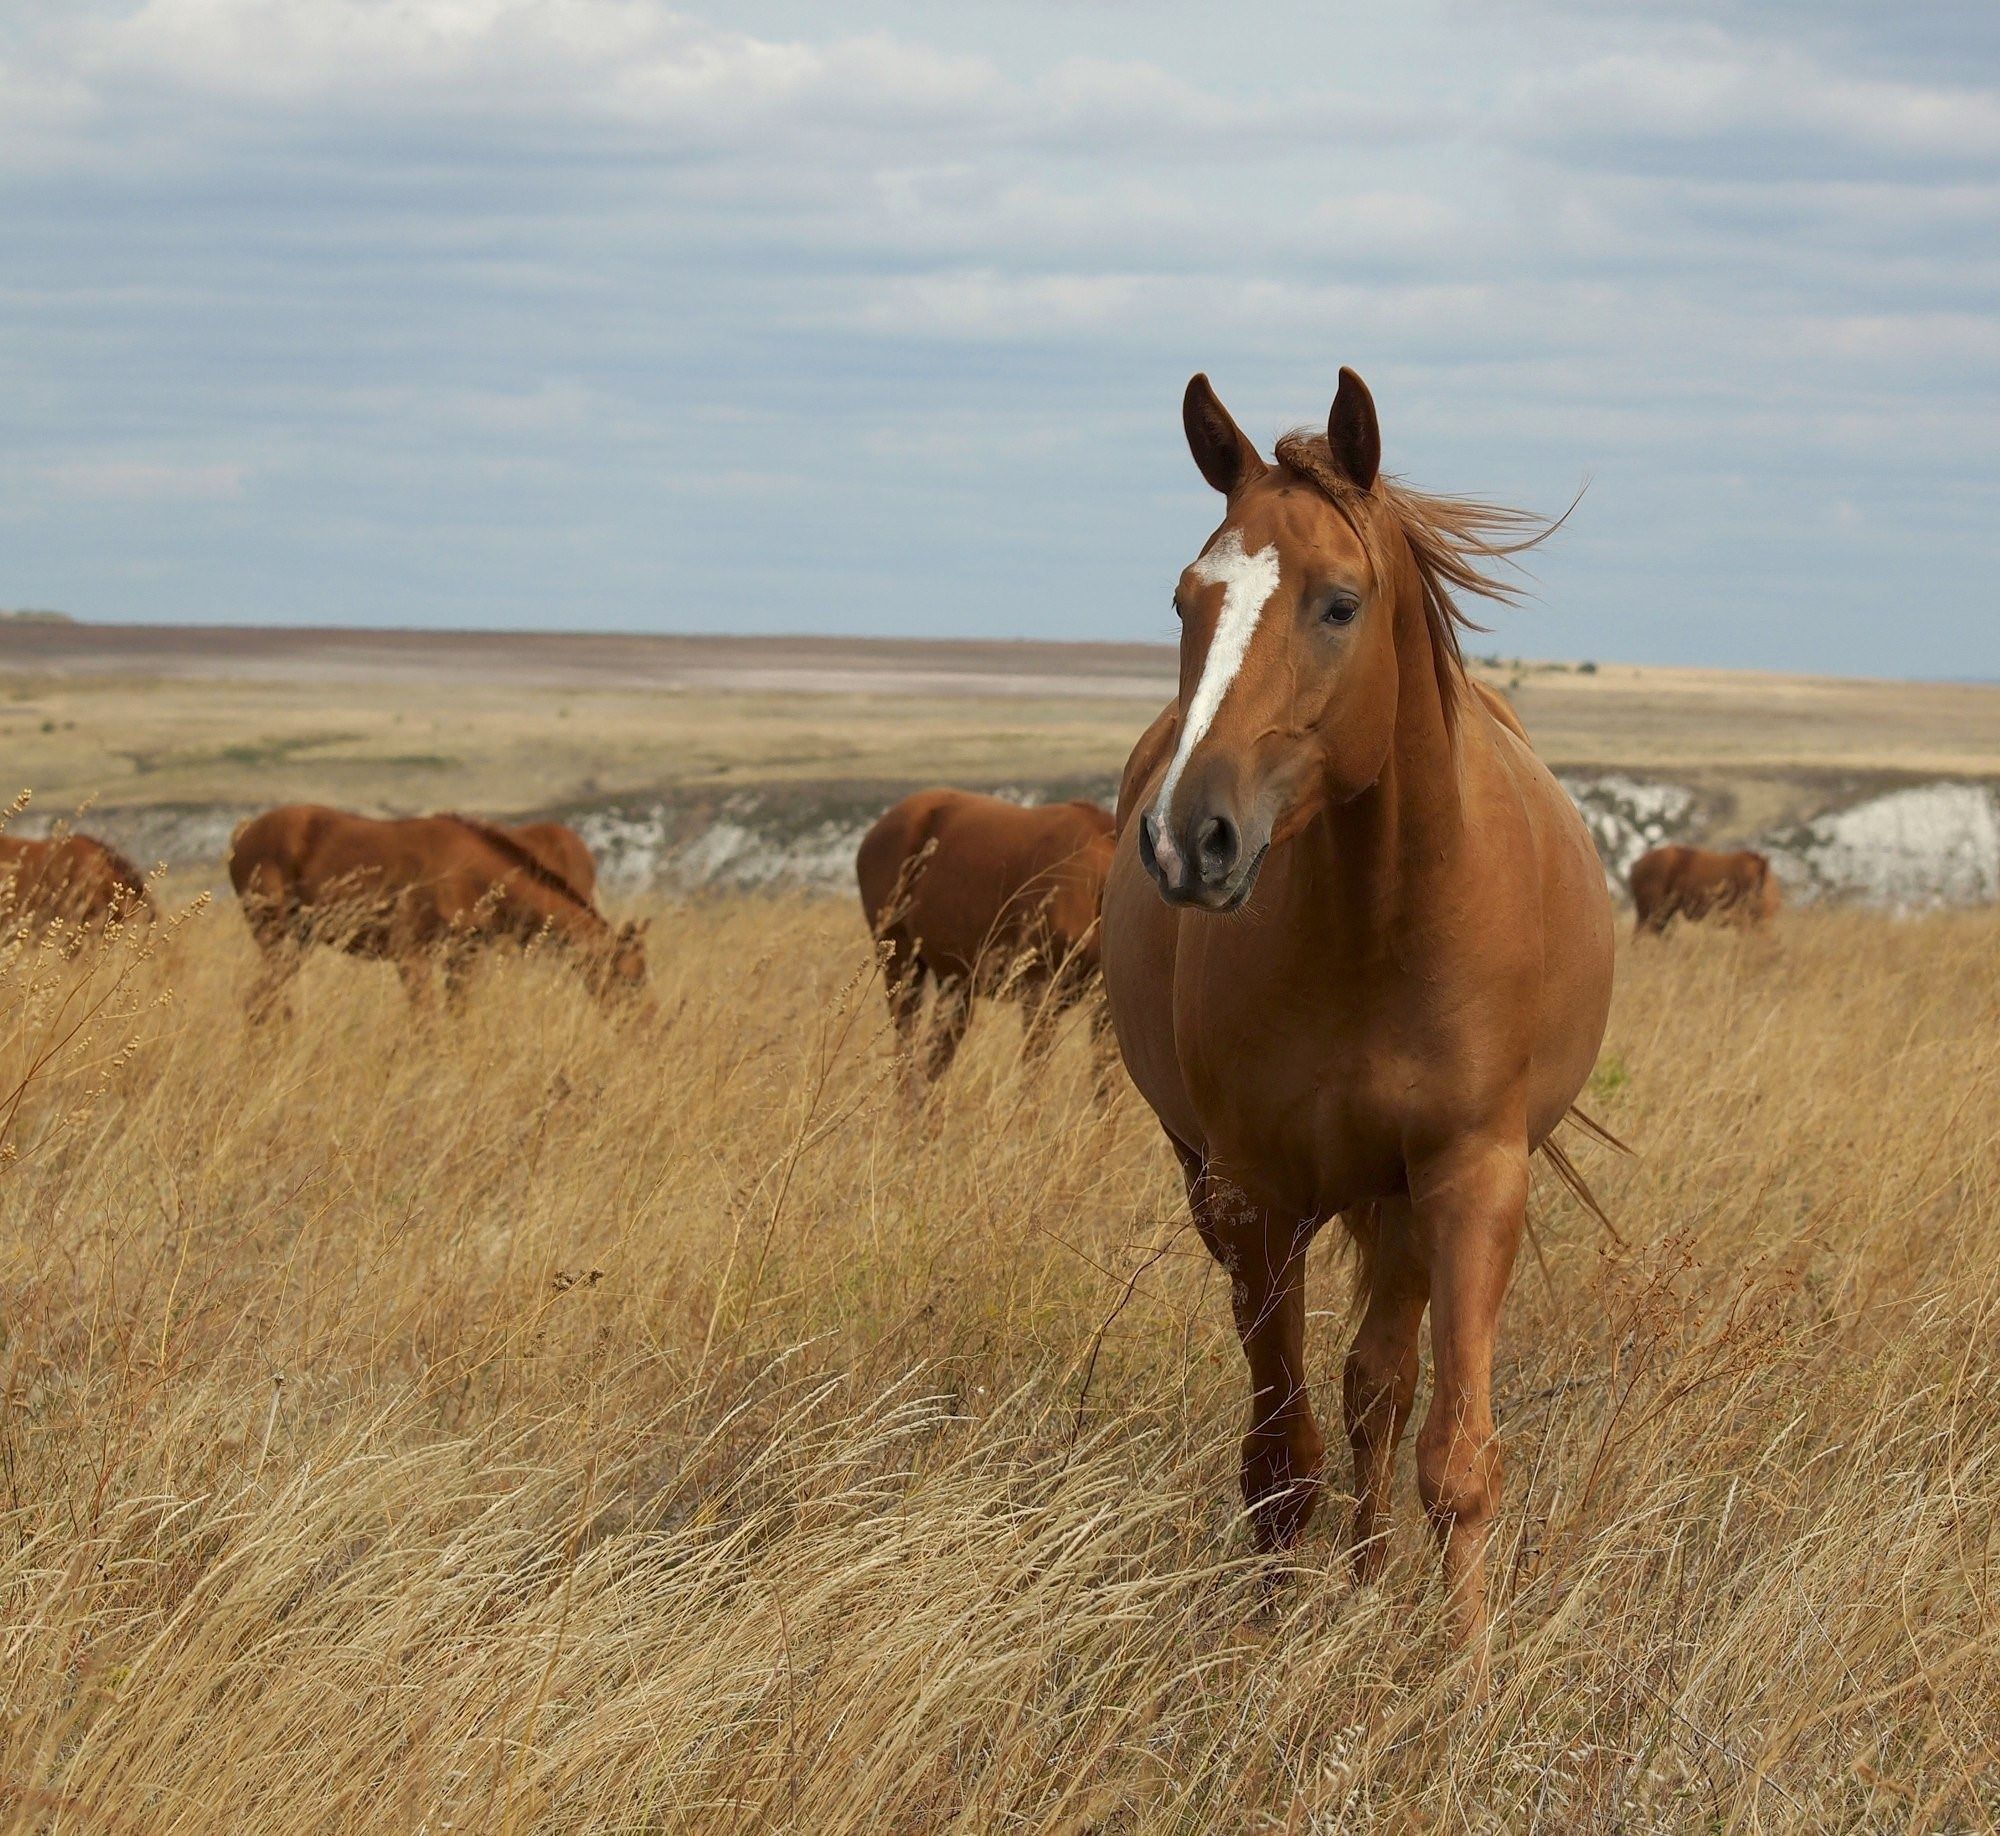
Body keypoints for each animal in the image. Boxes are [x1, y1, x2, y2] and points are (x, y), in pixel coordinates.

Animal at [230, 808, 644, 1024]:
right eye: (631, 979)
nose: (646, 1025)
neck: (470, 872)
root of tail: (245, 833)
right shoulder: (411, 958)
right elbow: (426, 1023)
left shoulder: (464, 958)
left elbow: (456, 1017)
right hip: (278, 942)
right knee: (259, 1003)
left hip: (296, 945)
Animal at [852, 796, 1120, 1096]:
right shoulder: (1039, 993)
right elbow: (1034, 1077)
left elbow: (1106, 1084)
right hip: (903, 968)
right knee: (907, 1054)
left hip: (955, 988)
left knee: (935, 1060)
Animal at [1104, 366, 1616, 1664]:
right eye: (1184, 599)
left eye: (1338, 605)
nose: (1188, 839)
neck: (1376, 923)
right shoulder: (1254, 1198)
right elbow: (1279, 1460)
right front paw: (1264, 1652)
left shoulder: (1470, 1181)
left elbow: (1455, 1461)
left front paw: (1464, 1676)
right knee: (1344, 1401)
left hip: (1400, 1207)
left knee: (1378, 1389)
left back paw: (1374, 1580)